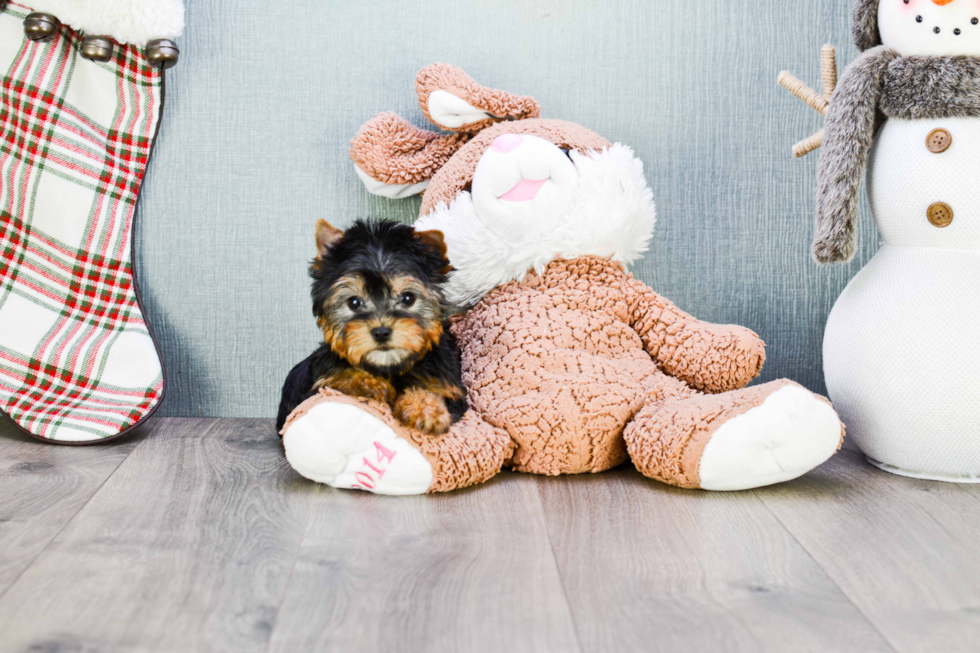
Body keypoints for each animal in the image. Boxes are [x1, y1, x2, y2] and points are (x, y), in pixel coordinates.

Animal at [276, 216, 468, 436]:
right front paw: (370, 383)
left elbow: (433, 390)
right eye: (354, 302)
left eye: (408, 298)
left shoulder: (448, 385)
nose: (381, 332)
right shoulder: (319, 382)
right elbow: (340, 376)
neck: (390, 367)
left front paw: (427, 409)